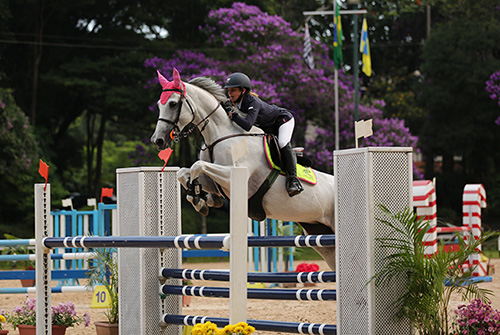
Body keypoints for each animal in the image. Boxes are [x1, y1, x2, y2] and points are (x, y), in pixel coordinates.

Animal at [149, 69, 336, 270]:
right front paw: (203, 200)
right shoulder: (217, 181)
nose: (158, 140)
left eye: (173, 103)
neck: (220, 134)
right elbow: (183, 173)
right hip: (320, 236)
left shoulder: (233, 176)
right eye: (159, 104)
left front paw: (199, 197)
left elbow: (196, 166)